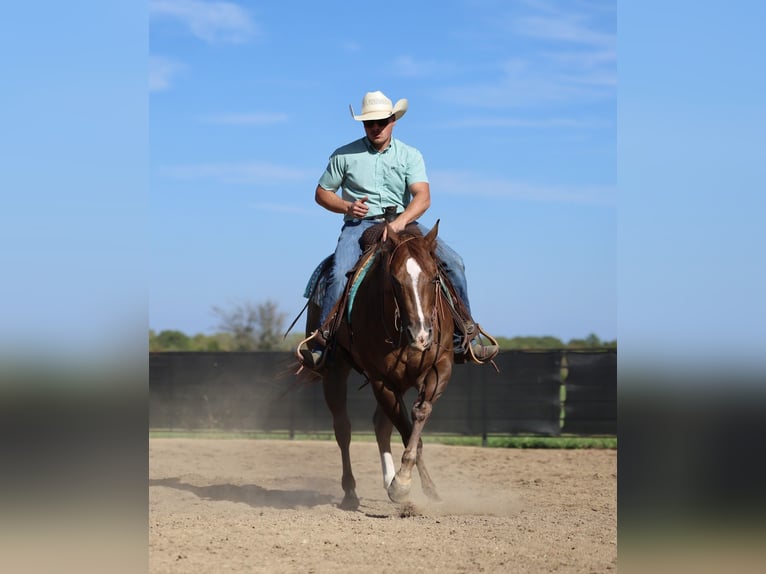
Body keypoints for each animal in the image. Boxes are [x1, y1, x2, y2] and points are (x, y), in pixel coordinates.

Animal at [299, 221, 454, 510]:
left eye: (434, 278)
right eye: (394, 280)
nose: (421, 335)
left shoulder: (440, 366)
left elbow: (419, 415)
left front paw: (424, 488)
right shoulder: (380, 379)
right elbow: (407, 432)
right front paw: (402, 484)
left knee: (381, 425)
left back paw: (388, 480)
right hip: (336, 371)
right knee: (343, 428)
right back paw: (351, 492)